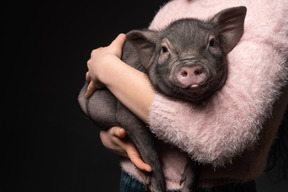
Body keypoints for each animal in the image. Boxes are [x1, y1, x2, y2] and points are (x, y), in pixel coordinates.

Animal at [77, 6, 246, 192]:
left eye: (213, 43)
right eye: (164, 49)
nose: (191, 66)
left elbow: (197, 153)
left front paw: (185, 187)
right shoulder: (125, 112)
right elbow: (148, 149)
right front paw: (157, 186)